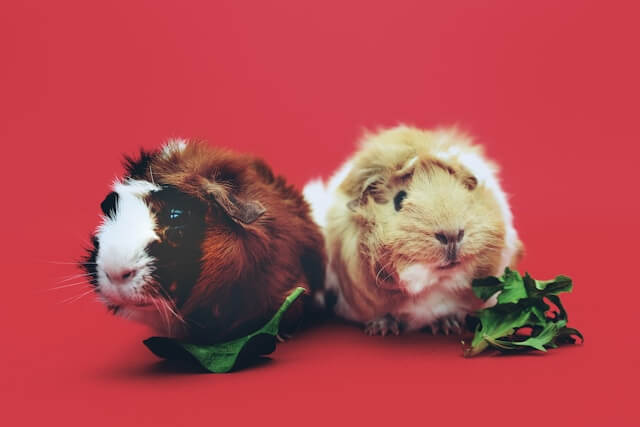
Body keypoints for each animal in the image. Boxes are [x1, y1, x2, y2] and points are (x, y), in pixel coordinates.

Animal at [303, 125, 523, 336]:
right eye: (399, 200)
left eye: (466, 195)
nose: (452, 235)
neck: (432, 284)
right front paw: (382, 330)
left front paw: (447, 326)